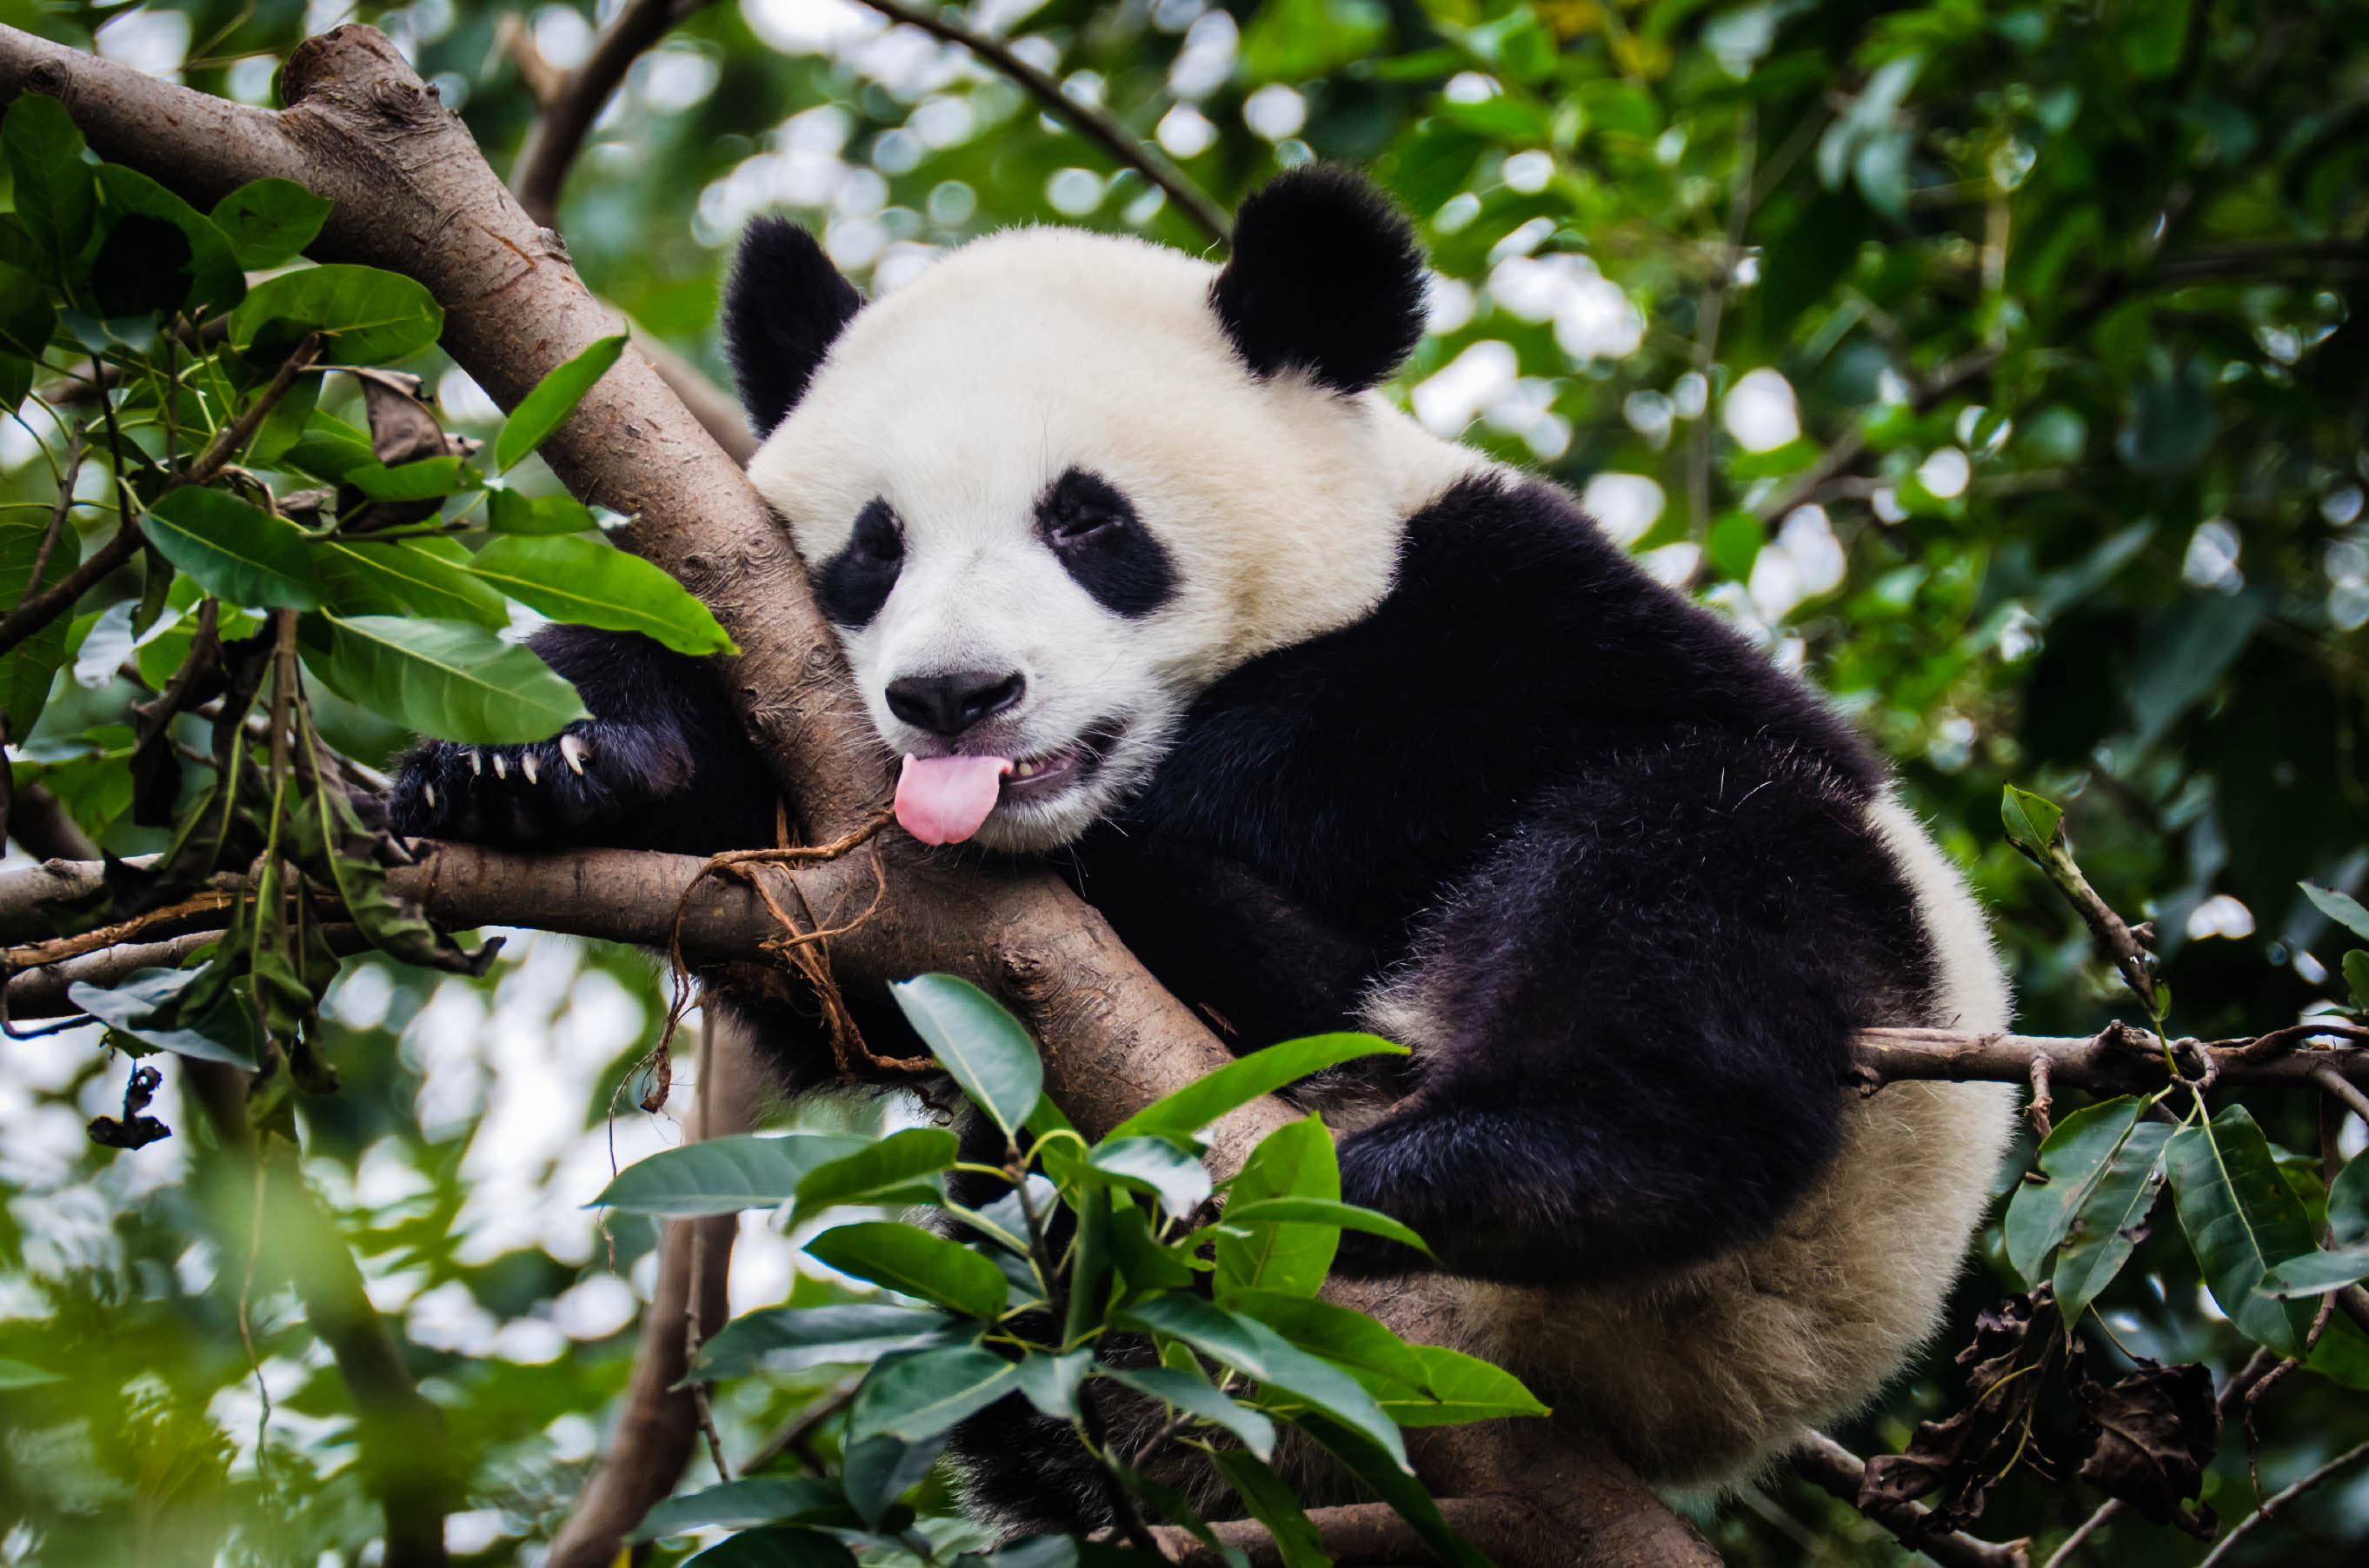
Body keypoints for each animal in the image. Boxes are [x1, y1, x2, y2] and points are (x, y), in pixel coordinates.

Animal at [388, 162, 2018, 1525]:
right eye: (873, 547)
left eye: (1088, 524)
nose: (957, 696)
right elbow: (823, 952)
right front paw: (537, 761)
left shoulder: (1520, 596)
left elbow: (1456, 712)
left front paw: (1196, 793)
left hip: (1842, 1174)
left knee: (1702, 868)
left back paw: (1479, 1165)